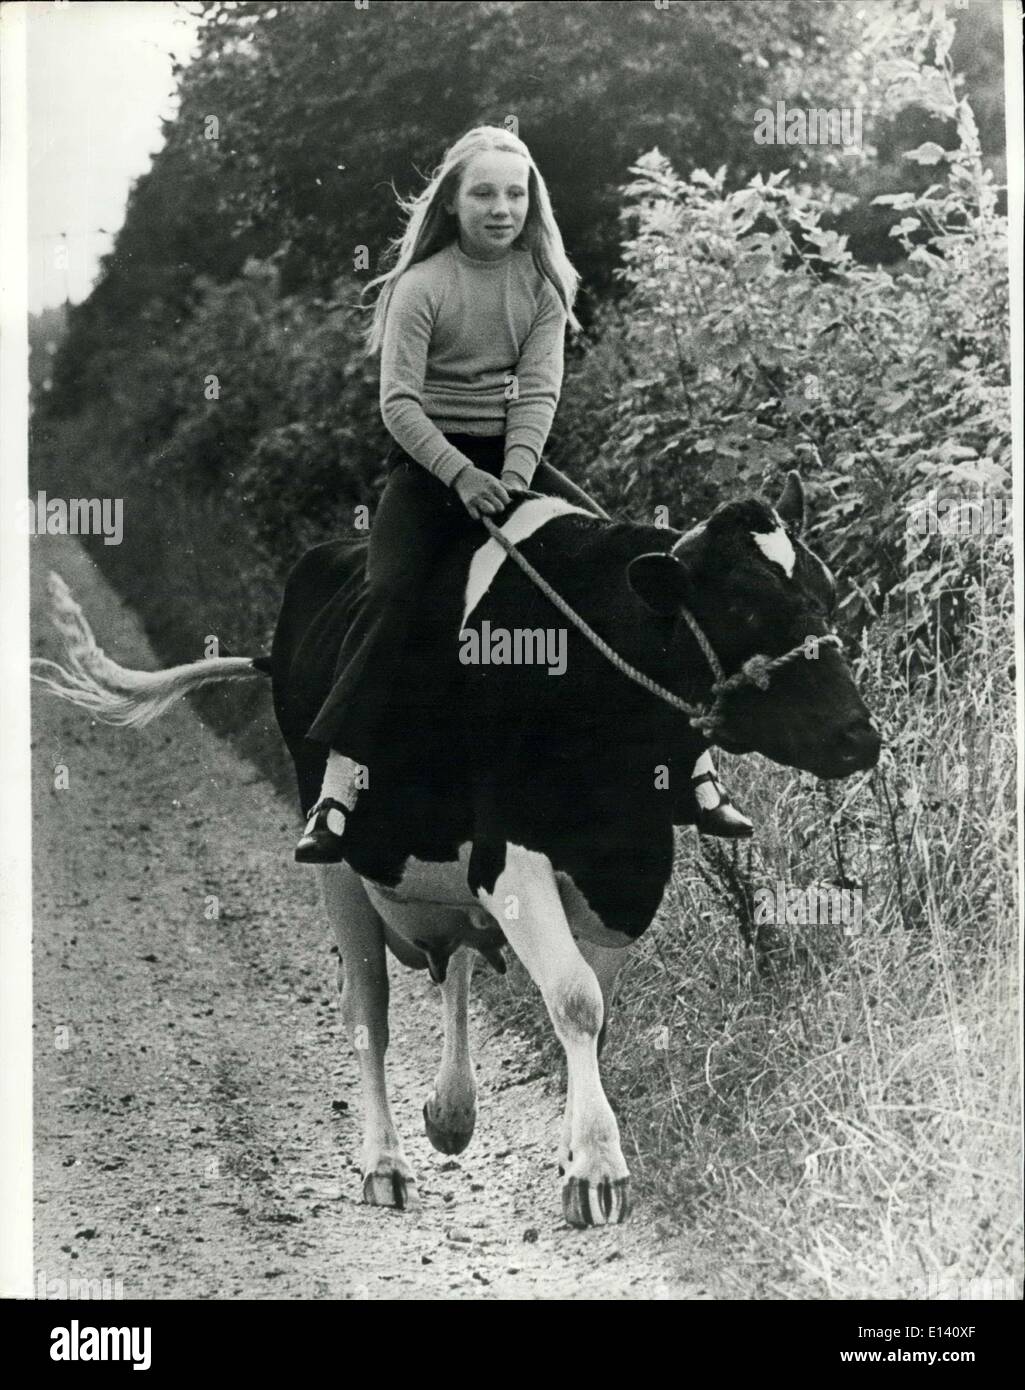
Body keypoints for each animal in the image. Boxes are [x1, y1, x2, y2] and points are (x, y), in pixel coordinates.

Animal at [34, 475, 878, 1228]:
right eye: (743, 604)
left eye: (828, 591)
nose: (857, 736)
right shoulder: (510, 853)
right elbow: (574, 999)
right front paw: (597, 1172)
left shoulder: (628, 865)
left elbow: (590, 1010)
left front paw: (574, 1156)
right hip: (338, 870)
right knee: (368, 1012)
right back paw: (384, 1162)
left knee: (459, 964)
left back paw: (450, 1110)